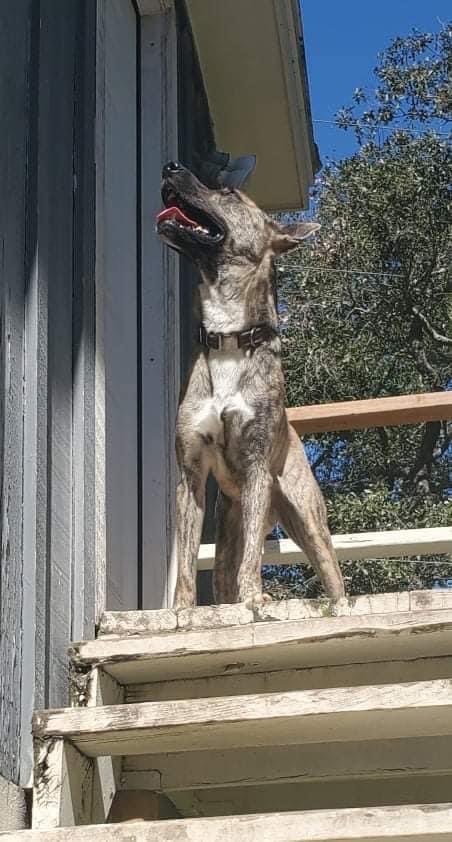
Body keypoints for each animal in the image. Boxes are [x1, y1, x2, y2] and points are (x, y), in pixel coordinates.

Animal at [157, 161, 344, 608]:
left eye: (228, 194)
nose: (171, 166)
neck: (228, 336)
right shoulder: (190, 473)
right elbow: (185, 560)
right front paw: (182, 611)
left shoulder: (258, 466)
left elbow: (254, 561)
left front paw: (254, 600)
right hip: (230, 524)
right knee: (227, 567)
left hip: (307, 517)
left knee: (332, 576)